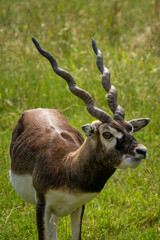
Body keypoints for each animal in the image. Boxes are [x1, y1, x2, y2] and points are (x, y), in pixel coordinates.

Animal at [10, 38, 150, 240]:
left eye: (130, 128)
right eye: (106, 133)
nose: (141, 151)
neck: (67, 166)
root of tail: (38, 109)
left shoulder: (78, 207)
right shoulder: (42, 205)